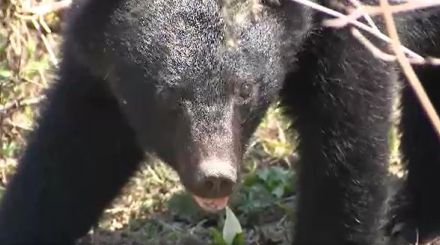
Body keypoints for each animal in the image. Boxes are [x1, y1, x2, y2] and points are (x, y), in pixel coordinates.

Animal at [0, 0, 438, 243]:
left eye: (243, 90)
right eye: (168, 96)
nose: (214, 176)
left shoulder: (348, 29)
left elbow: (348, 150)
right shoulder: (98, 62)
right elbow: (73, 156)